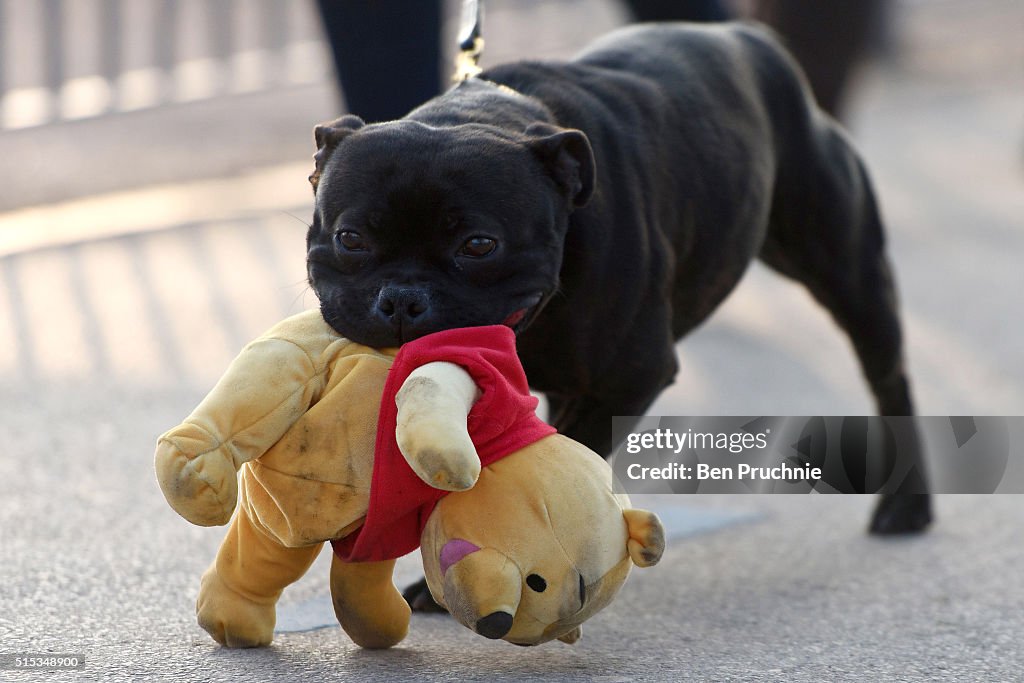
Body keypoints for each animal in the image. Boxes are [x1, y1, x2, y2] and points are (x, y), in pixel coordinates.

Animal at [303, 22, 929, 544]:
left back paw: (907, 507)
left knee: (889, 376)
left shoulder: (628, 378)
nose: (402, 300)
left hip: (849, 271)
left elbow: (564, 455)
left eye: (479, 246)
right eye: (351, 238)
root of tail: (746, 36)